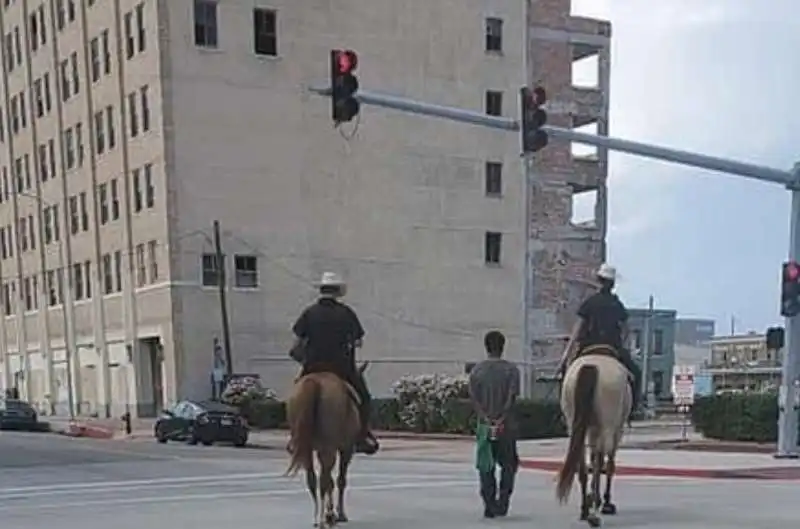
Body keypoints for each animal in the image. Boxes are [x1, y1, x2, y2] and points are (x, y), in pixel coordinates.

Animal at [284, 358, 368, 524]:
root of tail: (313, 383)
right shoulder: (346, 449)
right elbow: (340, 480)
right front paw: (339, 513)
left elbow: (330, 480)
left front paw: (332, 512)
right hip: (330, 448)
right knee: (323, 480)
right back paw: (324, 518)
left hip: (308, 448)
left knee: (313, 478)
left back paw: (318, 516)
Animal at [556, 346, 632, 528]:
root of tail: (590, 366)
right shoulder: (616, 430)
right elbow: (607, 463)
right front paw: (605, 501)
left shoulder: (591, 429)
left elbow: (594, 460)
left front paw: (592, 498)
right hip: (608, 425)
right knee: (602, 461)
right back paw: (595, 513)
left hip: (575, 424)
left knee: (582, 465)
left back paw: (585, 510)